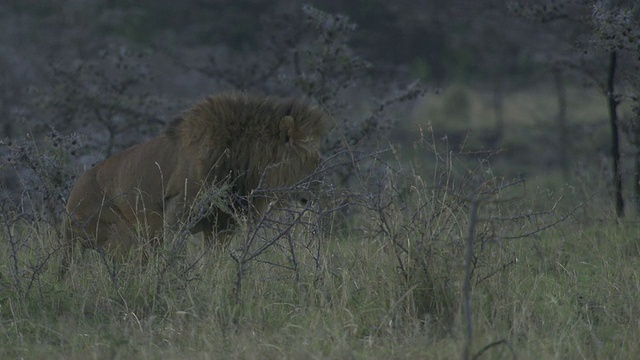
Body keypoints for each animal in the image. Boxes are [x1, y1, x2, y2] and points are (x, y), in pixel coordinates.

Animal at [61, 93, 324, 272]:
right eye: (311, 162)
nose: (315, 193)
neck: (242, 159)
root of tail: (70, 202)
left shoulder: (223, 224)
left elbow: (214, 258)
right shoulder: (177, 211)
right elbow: (174, 250)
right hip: (122, 232)